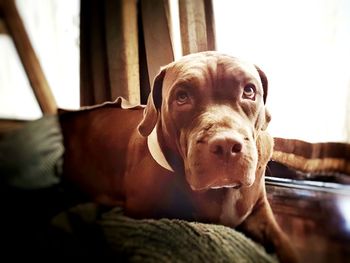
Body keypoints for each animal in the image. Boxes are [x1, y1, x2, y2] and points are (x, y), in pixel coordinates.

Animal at [60, 52, 298, 263]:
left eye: (249, 91)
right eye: (182, 96)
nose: (225, 144)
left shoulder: (261, 214)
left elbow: (286, 245)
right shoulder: (142, 213)